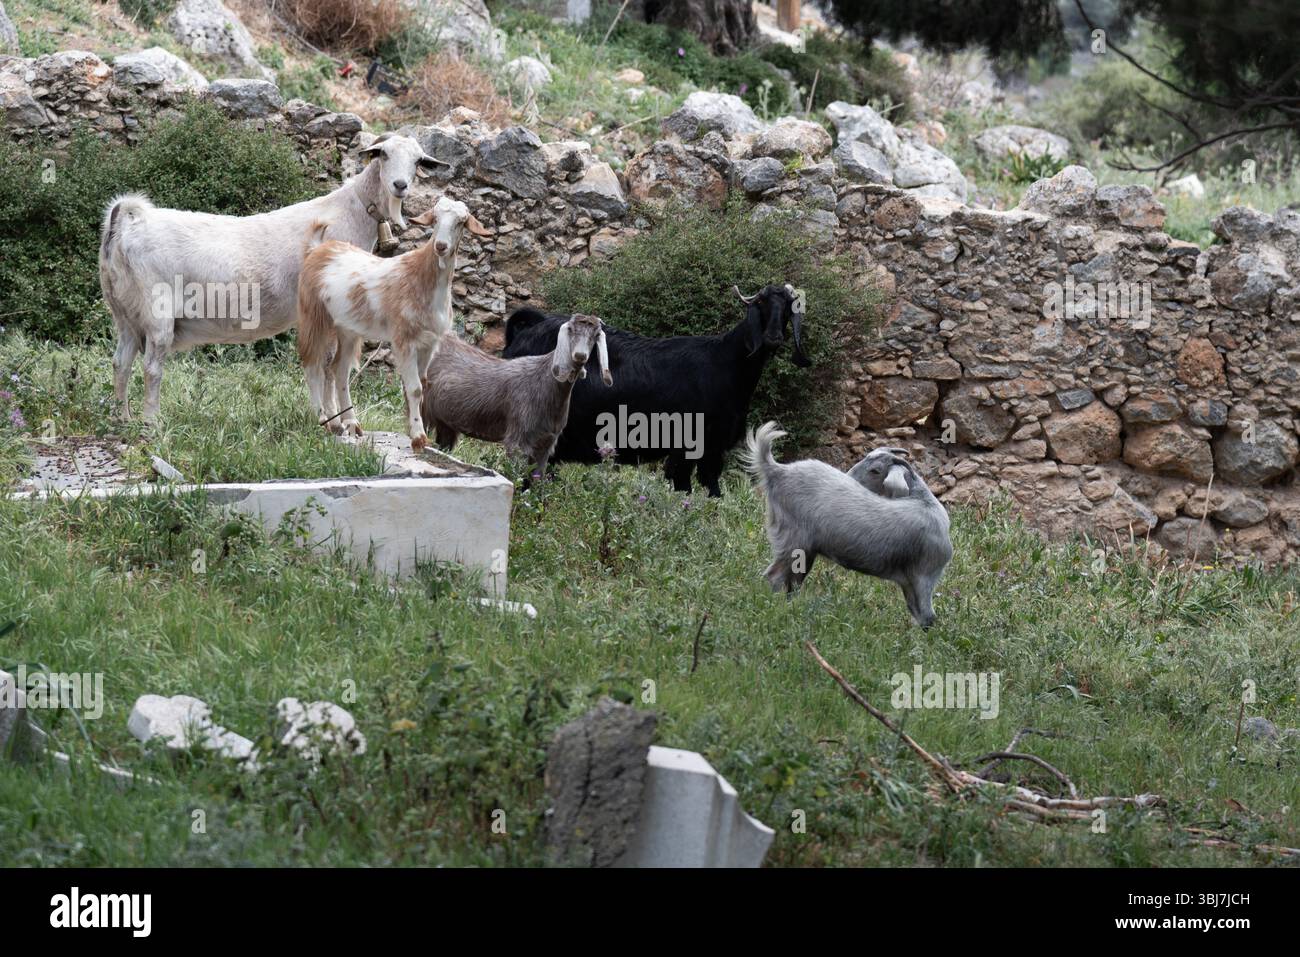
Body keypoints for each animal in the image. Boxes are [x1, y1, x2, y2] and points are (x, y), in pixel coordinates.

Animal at [98, 132, 448, 424]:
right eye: (384, 154)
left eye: (418, 161)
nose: (400, 185)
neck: (351, 211)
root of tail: (127, 219)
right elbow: (329, 364)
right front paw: (334, 420)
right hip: (156, 312)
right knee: (151, 367)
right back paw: (151, 423)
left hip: (125, 312)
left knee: (120, 362)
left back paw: (121, 418)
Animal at [297, 194, 491, 450]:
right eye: (435, 218)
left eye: (461, 222)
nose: (440, 246)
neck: (422, 278)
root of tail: (318, 250)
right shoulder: (403, 340)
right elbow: (414, 388)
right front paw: (418, 436)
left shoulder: (429, 343)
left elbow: (422, 384)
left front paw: (415, 433)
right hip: (314, 317)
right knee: (313, 365)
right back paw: (320, 418)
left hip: (347, 328)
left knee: (337, 370)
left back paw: (344, 423)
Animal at [420, 315, 612, 476]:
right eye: (571, 329)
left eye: (595, 335)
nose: (580, 355)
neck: (546, 381)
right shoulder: (519, 439)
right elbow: (515, 475)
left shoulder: (546, 443)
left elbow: (535, 480)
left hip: (446, 421)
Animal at [501, 284, 809, 497]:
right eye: (763, 303)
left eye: (788, 306)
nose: (773, 337)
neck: (725, 362)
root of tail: (528, 329)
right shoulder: (689, 446)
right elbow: (685, 486)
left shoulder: (712, 449)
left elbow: (711, 489)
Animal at [744, 423, 953, 628]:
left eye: (875, 470)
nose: (849, 477)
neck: (924, 501)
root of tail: (777, 471)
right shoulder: (924, 577)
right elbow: (927, 618)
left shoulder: (910, 583)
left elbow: (918, 615)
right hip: (794, 540)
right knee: (774, 577)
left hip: (804, 550)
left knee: (792, 583)